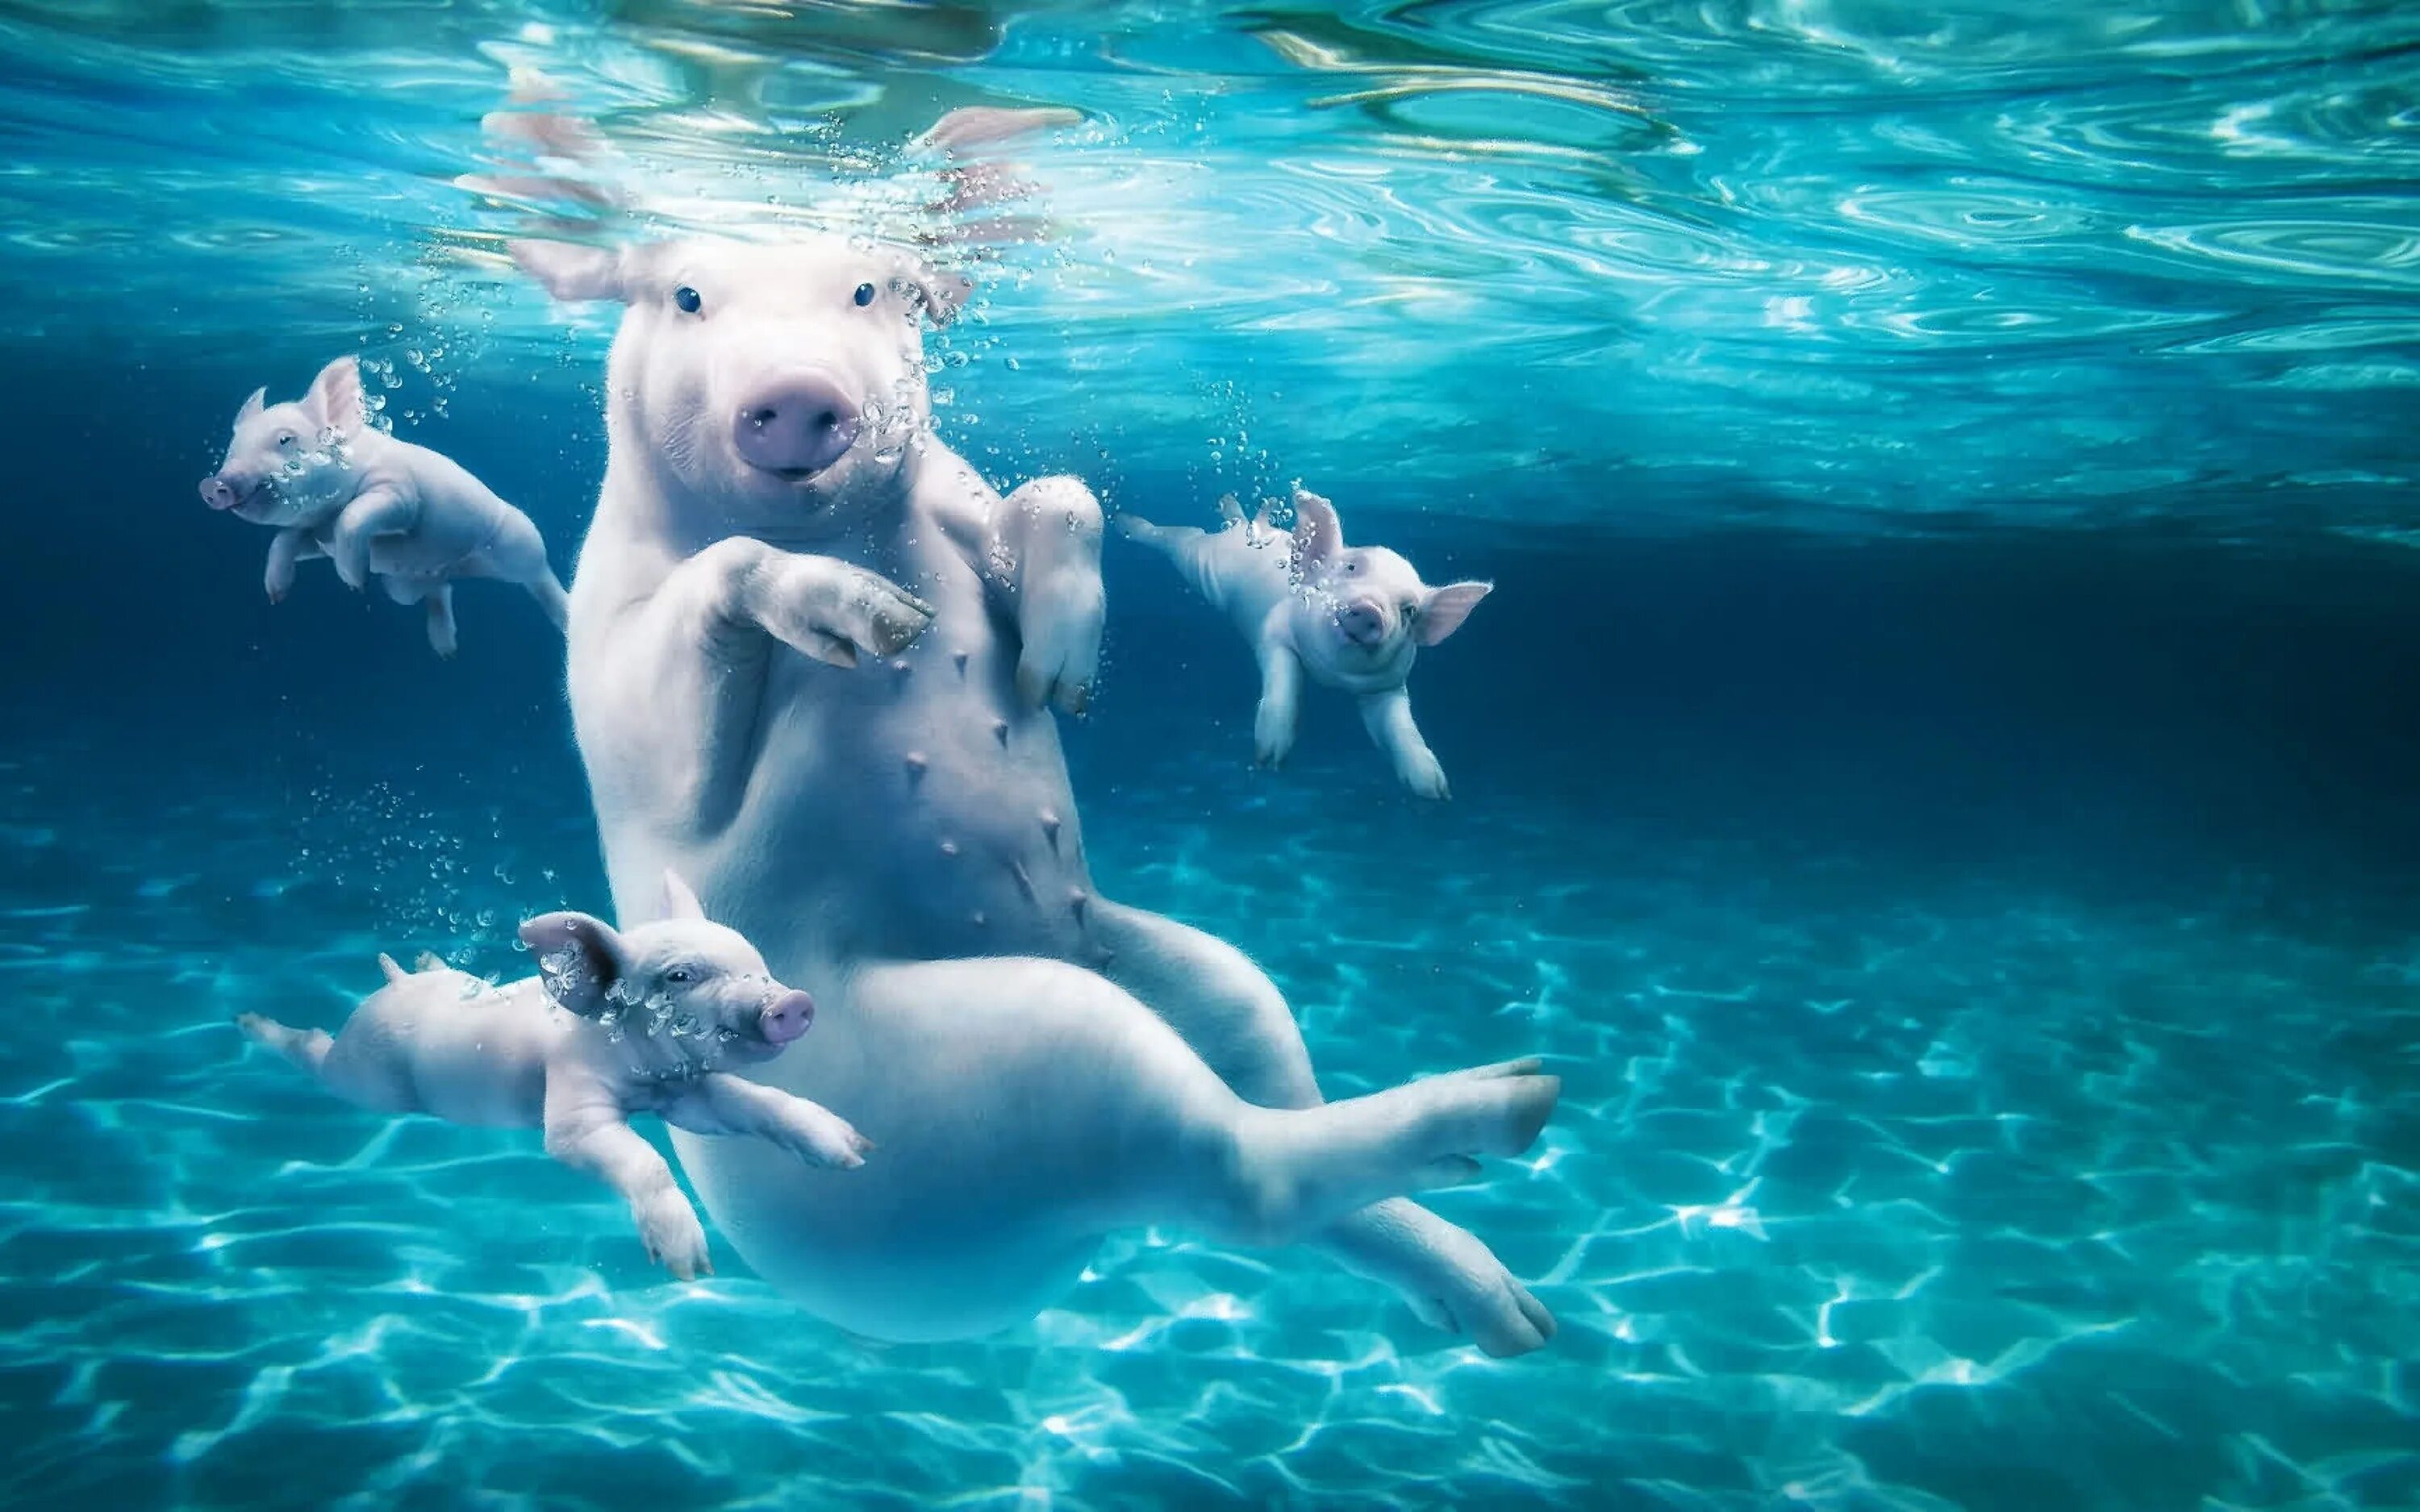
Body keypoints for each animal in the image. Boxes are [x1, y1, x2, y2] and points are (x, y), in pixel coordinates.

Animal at [201, 360, 574, 658]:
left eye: (285, 440)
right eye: (232, 449)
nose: (213, 484)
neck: (325, 517)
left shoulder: (399, 491)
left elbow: (356, 515)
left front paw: (356, 584)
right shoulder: (319, 536)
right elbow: (284, 538)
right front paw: (276, 596)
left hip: (521, 544)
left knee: (539, 577)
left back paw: (566, 619)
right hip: (402, 587)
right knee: (440, 590)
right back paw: (447, 651)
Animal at [236, 871, 862, 1277]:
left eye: (760, 964)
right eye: (680, 976)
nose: (792, 1003)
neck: (645, 1076)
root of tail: (390, 987)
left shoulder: (685, 1093)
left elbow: (755, 1103)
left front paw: (855, 1152)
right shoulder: (572, 1103)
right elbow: (638, 1157)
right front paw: (690, 1267)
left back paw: (425, 961)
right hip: (364, 1072)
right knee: (315, 1052)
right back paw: (251, 1021)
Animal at [513, 233, 1558, 1355]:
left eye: (866, 289)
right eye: (687, 296)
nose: (796, 389)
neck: (846, 529)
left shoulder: (968, 504)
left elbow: (1059, 494)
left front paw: (1056, 680)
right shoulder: (609, 657)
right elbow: (697, 638)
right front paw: (880, 622)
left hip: (1185, 974)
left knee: (1272, 1088)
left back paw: (1510, 1304)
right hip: (992, 1059)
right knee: (1240, 1170)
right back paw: (1519, 1104)